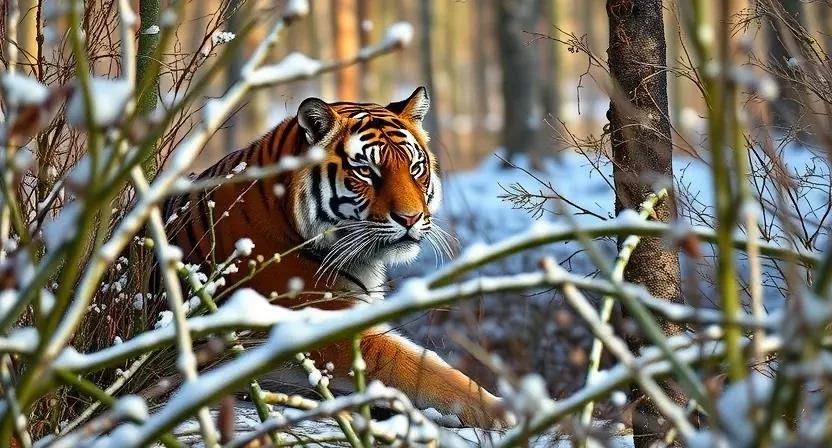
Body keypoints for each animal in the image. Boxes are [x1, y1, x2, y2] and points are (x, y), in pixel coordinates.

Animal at [164, 87, 512, 428]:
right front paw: (504, 412)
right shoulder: (322, 323)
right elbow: (421, 368)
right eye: (366, 172)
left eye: (415, 168)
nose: (410, 218)